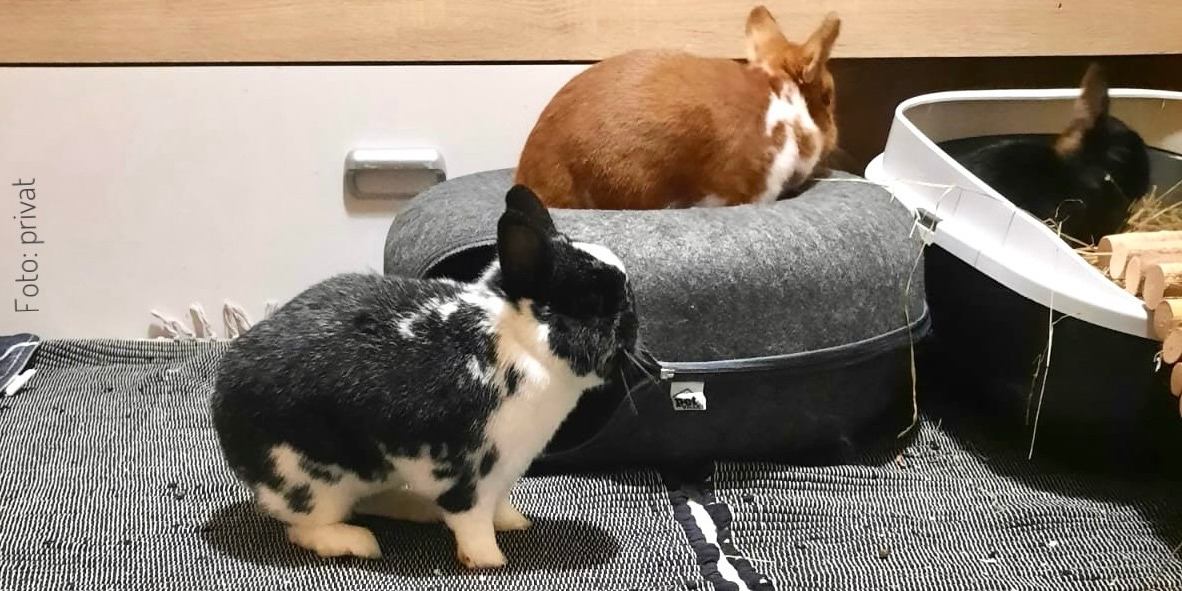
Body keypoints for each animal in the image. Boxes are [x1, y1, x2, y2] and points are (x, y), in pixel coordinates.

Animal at [209, 184, 642, 569]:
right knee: (306, 527)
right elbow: (473, 521)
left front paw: (515, 523)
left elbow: (500, 507)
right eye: (589, 301)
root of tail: (221, 400)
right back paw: (358, 542)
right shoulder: (472, 473)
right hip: (314, 483)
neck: (520, 341)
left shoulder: (506, 472)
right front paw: (489, 560)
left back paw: (414, 507)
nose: (634, 324)